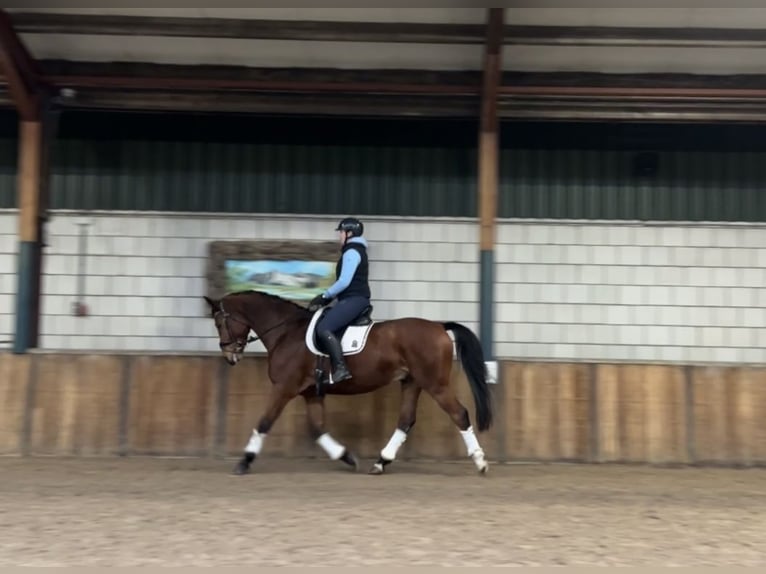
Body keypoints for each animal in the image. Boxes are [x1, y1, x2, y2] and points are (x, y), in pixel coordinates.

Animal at [202, 292, 498, 476]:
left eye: (219, 322)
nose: (229, 356)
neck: (286, 332)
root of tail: (439, 327)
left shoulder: (284, 388)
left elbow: (264, 423)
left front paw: (244, 461)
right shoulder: (311, 393)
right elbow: (318, 429)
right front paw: (347, 456)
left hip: (435, 383)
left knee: (459, 414)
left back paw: (481, 462)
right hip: (411, 382)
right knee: (405, 421)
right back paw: (380, 463)